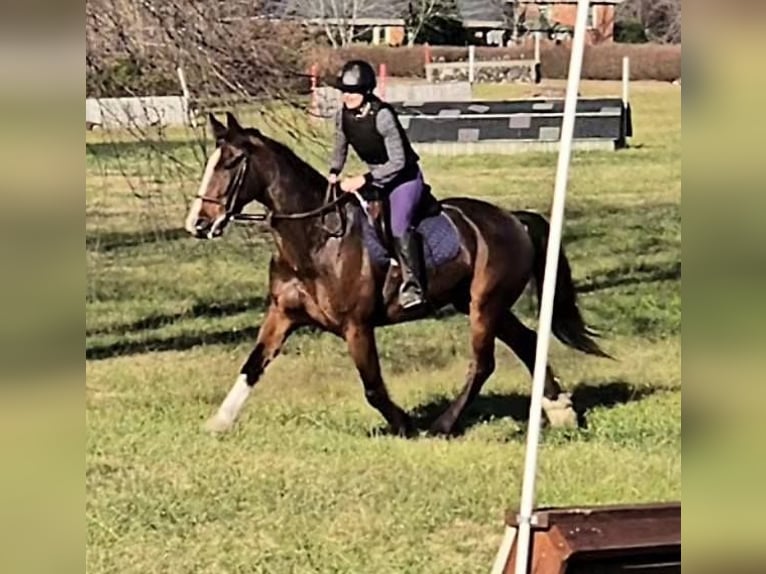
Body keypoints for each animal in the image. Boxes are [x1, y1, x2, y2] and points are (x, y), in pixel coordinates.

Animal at [185, 111, 610, 438]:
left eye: (231, 163)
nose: (198, 224)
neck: (315, 239)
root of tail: (512, 219)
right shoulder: (282, 316)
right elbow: (251, 367)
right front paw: (218, 423)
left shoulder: (356, 327)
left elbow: (373, 388)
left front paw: (405, 425)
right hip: (482, 303)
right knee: (526, 343)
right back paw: (561, 411)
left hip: (484, 306)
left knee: (483, 363)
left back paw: (443, 425)